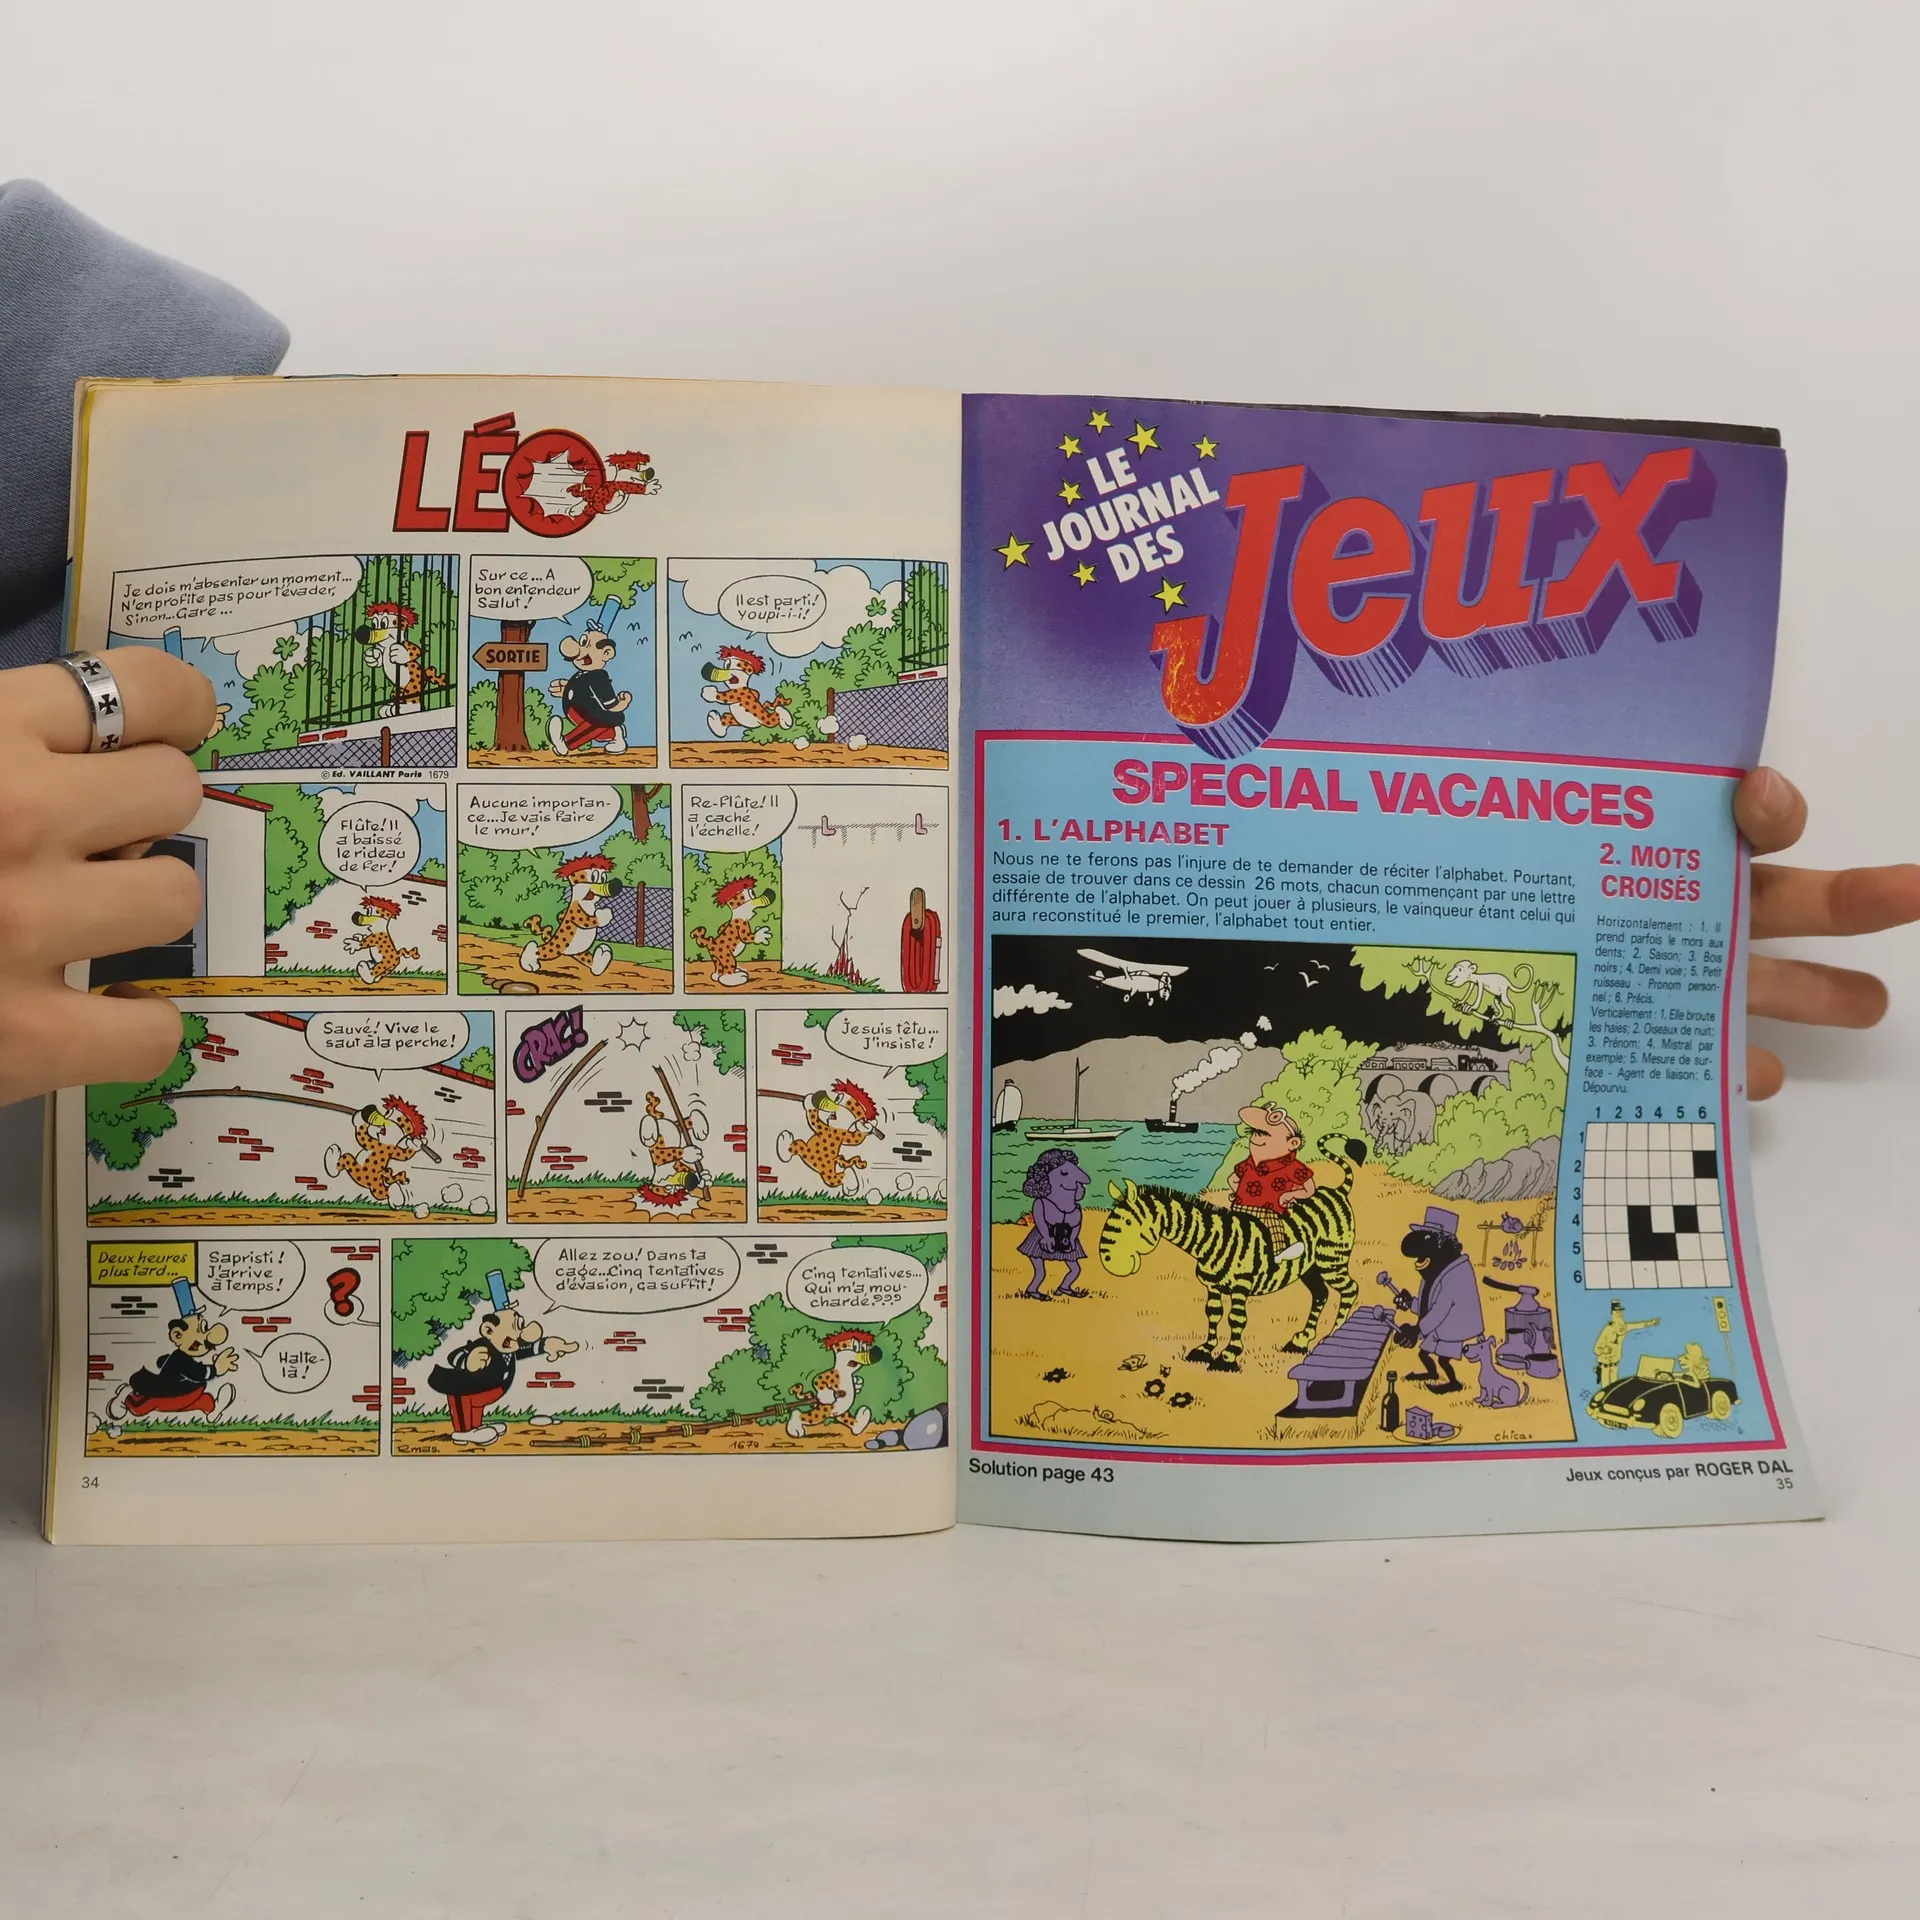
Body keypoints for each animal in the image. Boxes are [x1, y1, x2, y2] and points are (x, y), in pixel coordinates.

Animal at [1098, 1136, 1367, 1371]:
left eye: (1128, 1223)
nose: (1109, 1263)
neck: (1213, 1241)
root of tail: (1337, 1191)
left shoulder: (1241, 1286)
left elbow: (1236, 1319)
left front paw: (1227, 1358)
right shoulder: (1212, 1286)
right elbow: (1213, 1314)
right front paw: (1205, 1350)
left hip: (1331, 1259)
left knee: (1350, 1289)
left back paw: (1332, 1338)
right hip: (1309, 1266)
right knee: (1321, 1294)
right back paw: (1300, 1341)